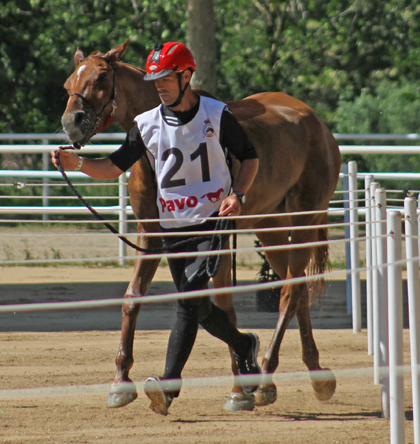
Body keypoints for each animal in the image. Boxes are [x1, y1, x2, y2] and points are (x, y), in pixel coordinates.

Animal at [60, 40, 342, 412]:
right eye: (68, 82)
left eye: (103, 76)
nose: (71, 122)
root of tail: (316, 123)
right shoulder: (150, 235)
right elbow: (133, 297)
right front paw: (121, 381)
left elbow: (223, 303)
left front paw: (239, 388)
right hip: (269, 225)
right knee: (295, 291)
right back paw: (314, 374)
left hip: (305, 217)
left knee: (290, 291)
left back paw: (268, 373)